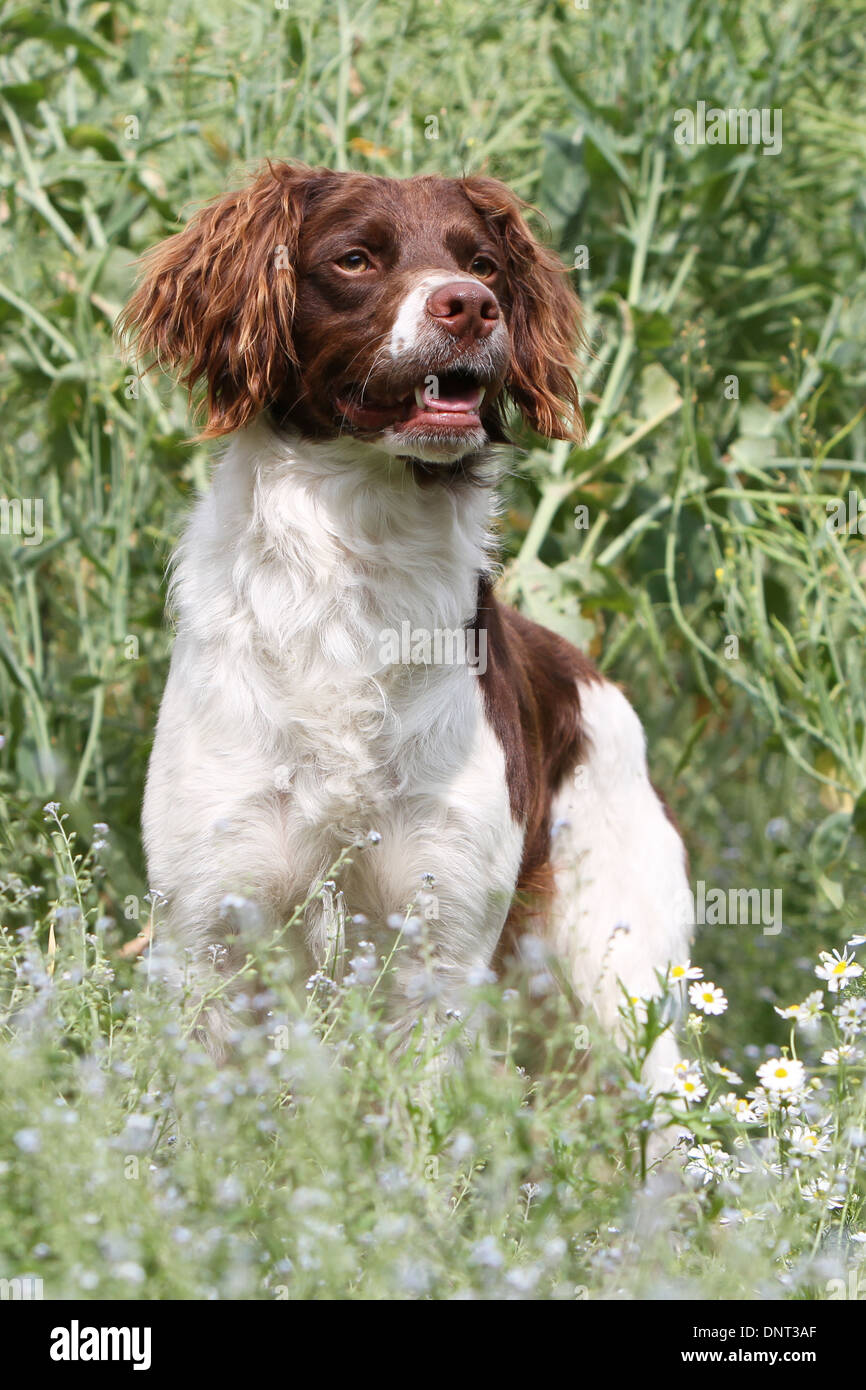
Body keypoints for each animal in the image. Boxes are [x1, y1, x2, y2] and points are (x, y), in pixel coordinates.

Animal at [120, 162, 692, 1073]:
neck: (359, 570)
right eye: (355, 259)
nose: (471, 306)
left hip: (623, 994)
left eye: (485, 264)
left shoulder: (441, 946)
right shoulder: (207, 927)